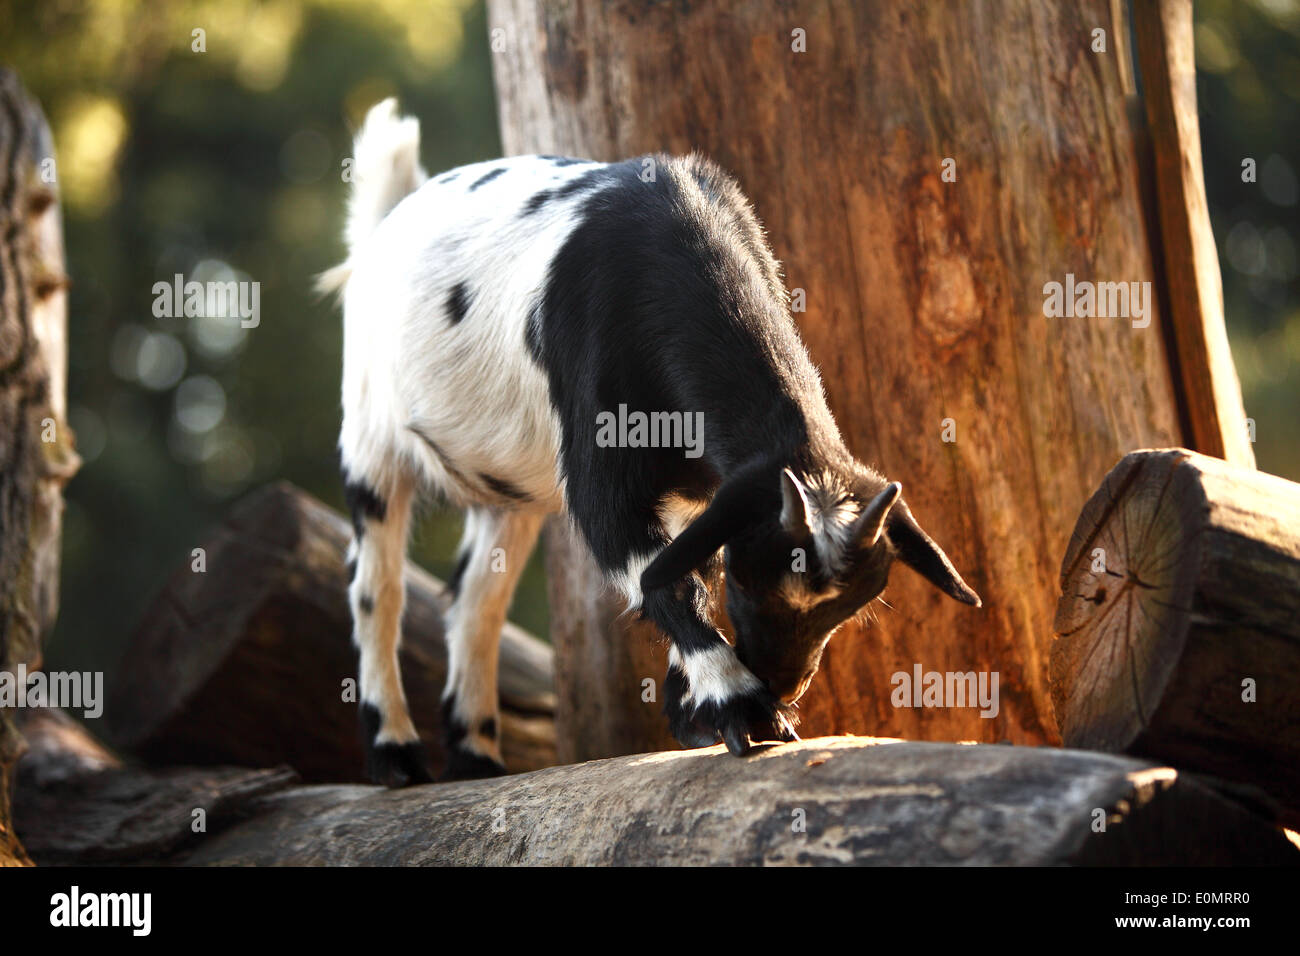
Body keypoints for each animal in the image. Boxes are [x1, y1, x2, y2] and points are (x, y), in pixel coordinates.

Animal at [319, 98, 977, 785]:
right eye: (751, 582)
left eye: (847, 608)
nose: (784, 683)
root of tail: (391, 213)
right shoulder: (604, 464)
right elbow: (656, 571)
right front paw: (740, 707)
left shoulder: (705, 490)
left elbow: (689, 561)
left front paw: (691, 714)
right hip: (368, 433)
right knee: (376, 586)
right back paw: (395, 753)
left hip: (509, 492)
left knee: (476, 602)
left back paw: (477, 759)